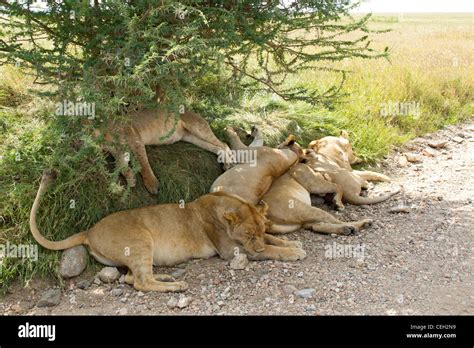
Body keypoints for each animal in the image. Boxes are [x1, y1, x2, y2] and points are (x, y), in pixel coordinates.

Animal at [29, 171, 306, 290]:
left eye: (259, 229)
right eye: (248, 235)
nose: (254, 245)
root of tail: (89, 231)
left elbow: (272, 239)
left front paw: (292, 244)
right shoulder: (231, 251)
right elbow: (269, 250)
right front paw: (292, 253)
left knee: (131, 278)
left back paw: (168, 278)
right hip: (140, 241)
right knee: (141, 283)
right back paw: (176, 286)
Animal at [91, 109, 231, 194]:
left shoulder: (135, 140)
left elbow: (143, 163)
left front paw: (152, 184)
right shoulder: (120, 152)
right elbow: (121, 167)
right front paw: (131, 178)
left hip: (197, 128)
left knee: (224, 144)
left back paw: (229, 163)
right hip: (192, 138)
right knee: (217, 147)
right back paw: (225, 163)